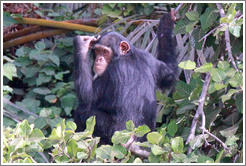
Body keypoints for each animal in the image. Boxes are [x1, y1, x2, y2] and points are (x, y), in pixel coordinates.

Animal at [73, 13, 177, 144]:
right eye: (97, 50)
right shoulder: (149, 59)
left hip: (110, 134)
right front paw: (166, 26)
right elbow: (170, 72)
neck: (126, 56)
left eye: (105, 52)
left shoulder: (112, 71)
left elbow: (88, 98)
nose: (99, 59)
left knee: (82, 111)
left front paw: (81, 45)